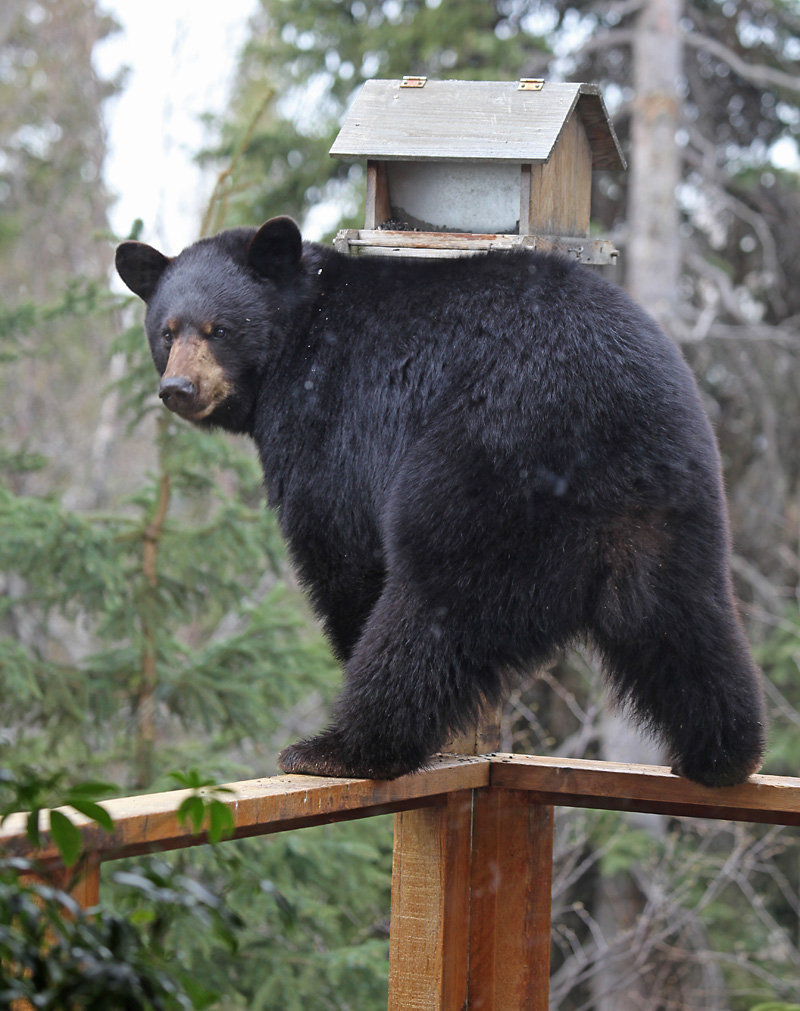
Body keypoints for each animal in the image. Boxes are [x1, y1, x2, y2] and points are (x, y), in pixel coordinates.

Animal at [115, 217, 764, 784]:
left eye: (219, 329)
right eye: (166, 331)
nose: (178, 389)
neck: (299, 332)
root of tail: (610, 429)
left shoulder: (333, 414)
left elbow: (340, 543)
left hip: (485, 474)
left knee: (432, 606)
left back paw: (343, 748)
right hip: (675, 504)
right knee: (684, 619)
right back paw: (722, 754)